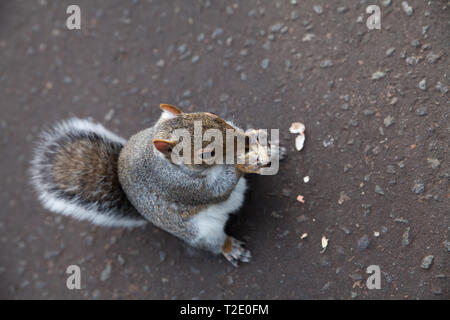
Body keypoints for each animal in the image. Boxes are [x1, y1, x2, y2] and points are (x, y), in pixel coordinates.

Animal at [29, 104, 284, 264]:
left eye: (213, 114)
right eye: (207, 153)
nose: (245, 142)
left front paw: (260, 138)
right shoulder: (179, 186)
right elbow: (217, 190)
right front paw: (245, 163)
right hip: (201, 232)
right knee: (213, 243)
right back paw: (231, 248)